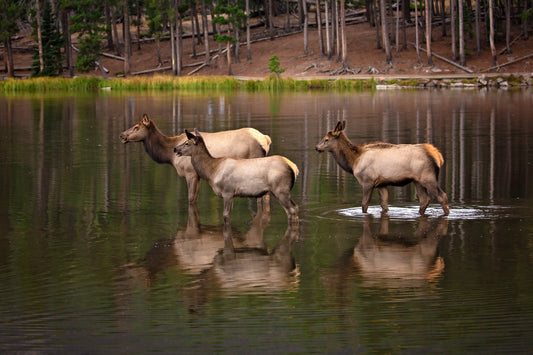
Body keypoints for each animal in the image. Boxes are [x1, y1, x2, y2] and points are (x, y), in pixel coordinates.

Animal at [120, 114, 270, 203]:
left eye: (136, 127)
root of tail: (266, 139)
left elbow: (191, 199)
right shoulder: (198, 176)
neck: (169, 155)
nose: (122, 135)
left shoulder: (190, 172)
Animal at [316, 121, 448, 216]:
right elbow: (384, 205)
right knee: (424, 200)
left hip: (428, 177)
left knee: (442, 196)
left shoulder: (368, 181)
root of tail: (438, 156)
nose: (316, 147)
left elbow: (364, 204)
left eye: (326, 139)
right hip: (417, 180)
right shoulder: (381, 184)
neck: (353, 161)